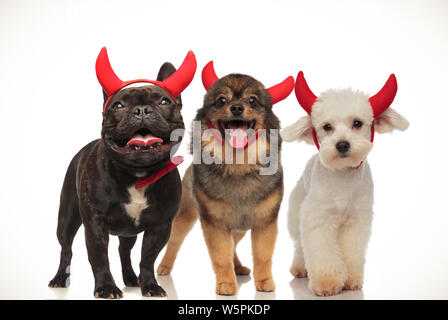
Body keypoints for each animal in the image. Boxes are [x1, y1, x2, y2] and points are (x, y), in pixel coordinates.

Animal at [158, 72, 284, 296]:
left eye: (252, 100)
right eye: (222, 100)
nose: (237, 107)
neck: (238, 165)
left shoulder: (265, 222)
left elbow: (263, 256)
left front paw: (264, 281)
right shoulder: (214, 223)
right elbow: (221, 256)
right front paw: (226, 284)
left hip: (239, 227)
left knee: (234, 246)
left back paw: (239, 267)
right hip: (186, 215)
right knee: (174, 241)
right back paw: (164, 266)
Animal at [282, 71, 408, 296]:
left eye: (357, 123)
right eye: (327, 127)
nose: (342, 144)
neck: (343, 177)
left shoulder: (356, 221)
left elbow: (351, 251)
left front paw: (350, 280)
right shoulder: (318, 219)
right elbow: (321, 251)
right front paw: (327, 281)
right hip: (297, 214)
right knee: (300, 245)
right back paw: (300, 268)